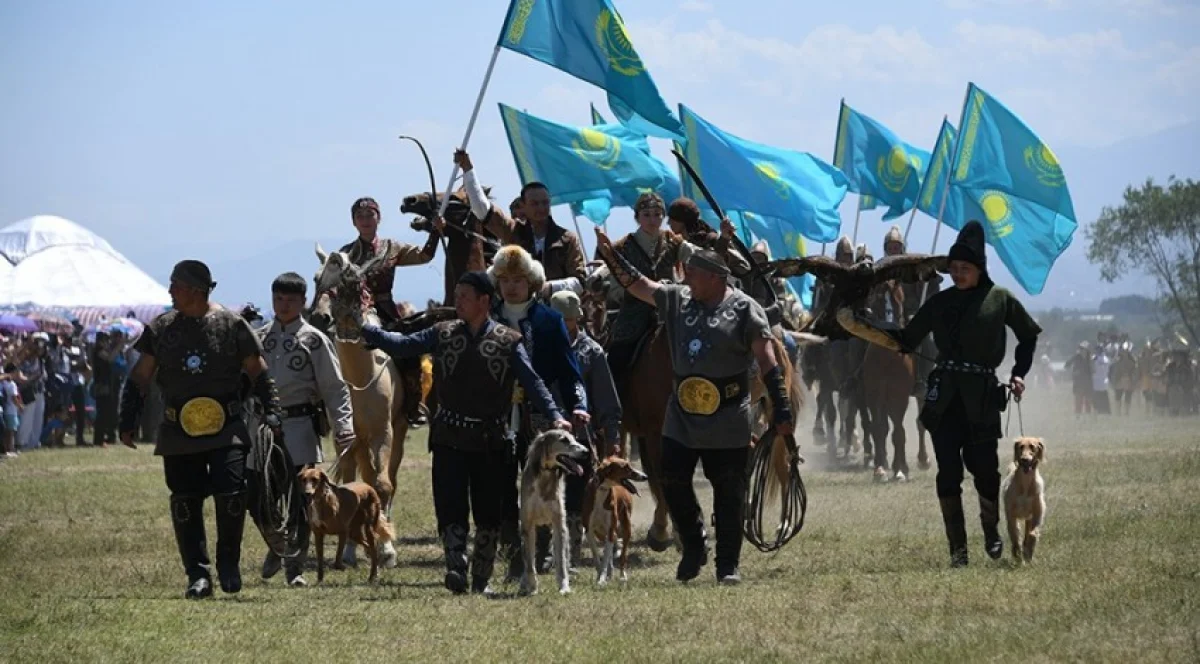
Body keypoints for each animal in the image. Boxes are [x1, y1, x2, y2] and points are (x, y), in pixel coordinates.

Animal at [518, 429, 588, 595]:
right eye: (563, 440)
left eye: (574, 438)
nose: (586, 451)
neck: (544, 478)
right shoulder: (528, 525)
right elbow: (529, 562)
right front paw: (532, 587)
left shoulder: (559, 524)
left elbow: (561, 560)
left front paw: (564, 586)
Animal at [580, 456, 648, 585]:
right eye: (626, 467)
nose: (645, 476)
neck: (602, 490)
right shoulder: (589, 531)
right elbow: (597, 556)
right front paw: (600, 576)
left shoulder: (610, 529)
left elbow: (606, 558)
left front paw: (601, 579)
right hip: (600, 533)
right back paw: (610, 573)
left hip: (626, 527)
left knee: (623, 555)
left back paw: (622, 576)